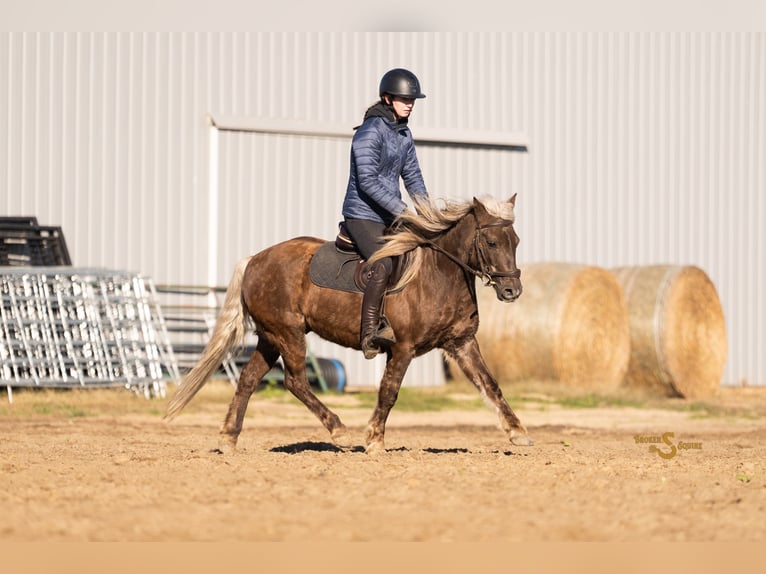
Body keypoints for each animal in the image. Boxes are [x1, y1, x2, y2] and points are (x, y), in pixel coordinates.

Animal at [165, 194, 533, 454]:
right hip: (288, 333)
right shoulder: (403, 348)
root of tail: (255, 259)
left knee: (248, 380)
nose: (512, 290)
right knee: (295, 381)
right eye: (491, 242)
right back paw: (339, 431)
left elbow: (490, 385)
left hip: (270, 336)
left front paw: (518, 433)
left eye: (516, 242)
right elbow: (389, 391)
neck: (438, 273)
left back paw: (229, 439)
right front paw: (374, 440)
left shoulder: (461, 343)